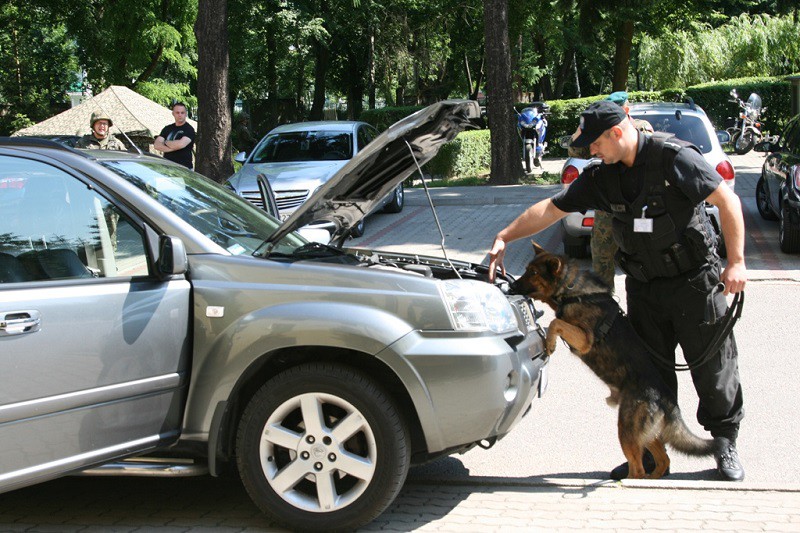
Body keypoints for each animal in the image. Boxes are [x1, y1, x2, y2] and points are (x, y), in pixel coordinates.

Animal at [510, 241, 716, 478]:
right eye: (526, 269)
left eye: (533, 273)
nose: (511, 286)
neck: (571, 289)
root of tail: (667, 400)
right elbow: (556, 321)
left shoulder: (584, 339)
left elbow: (556, 322)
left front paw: (550, 343)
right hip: (644, 435)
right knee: (663, 460)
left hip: (626, 430)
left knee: (639, 468)